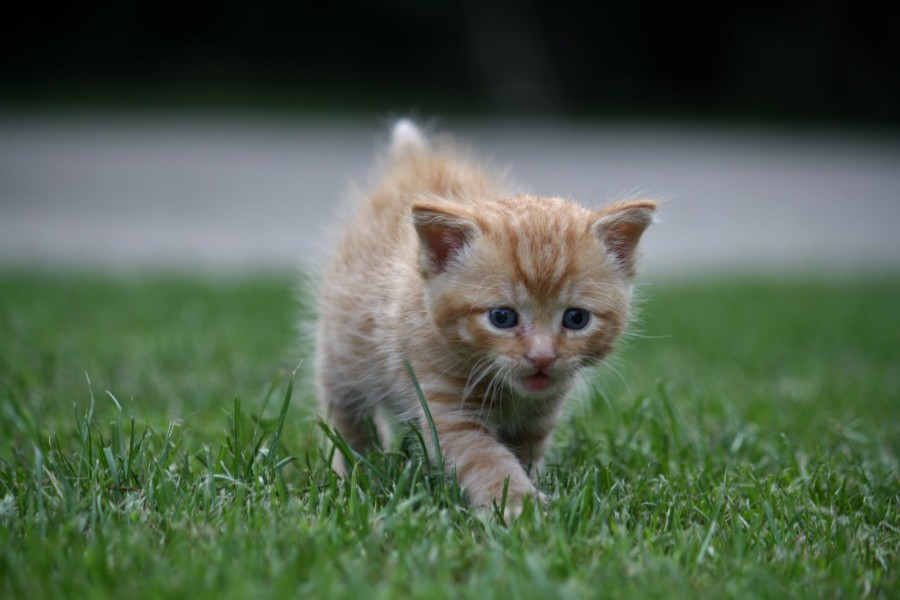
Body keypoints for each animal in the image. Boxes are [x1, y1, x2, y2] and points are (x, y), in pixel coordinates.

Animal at [316, 120, 652, 516]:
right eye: (502, 317)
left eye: (575, 319)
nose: (541, 357)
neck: (509, 394)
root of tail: (416, 160)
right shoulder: (445, 408)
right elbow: (485, 458)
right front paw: (519, 505)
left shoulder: (539, 416)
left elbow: (524, 453)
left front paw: (528, 489)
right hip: (342, 352)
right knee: (347, 413)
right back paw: (356, 466)